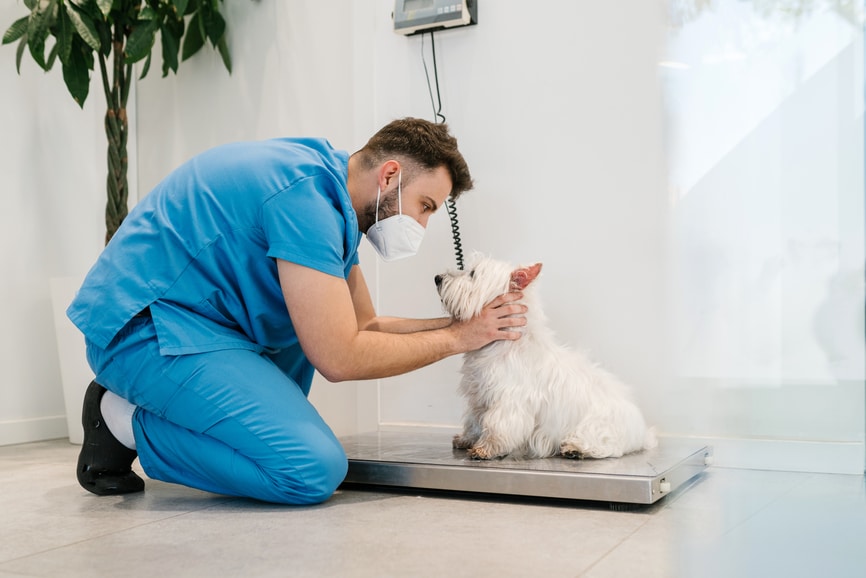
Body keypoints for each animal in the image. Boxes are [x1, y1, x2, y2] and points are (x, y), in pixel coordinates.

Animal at [432, 253, 656, 460]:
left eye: (473, 274)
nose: (437, 278)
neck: (503, 343)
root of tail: (641, 432)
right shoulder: (478, 396)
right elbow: (474, 421)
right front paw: (466, 439)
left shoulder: (508, 400)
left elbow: (497, 425)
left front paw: (486, 448)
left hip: (597, 428)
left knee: (602, 444)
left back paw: (575, 449)